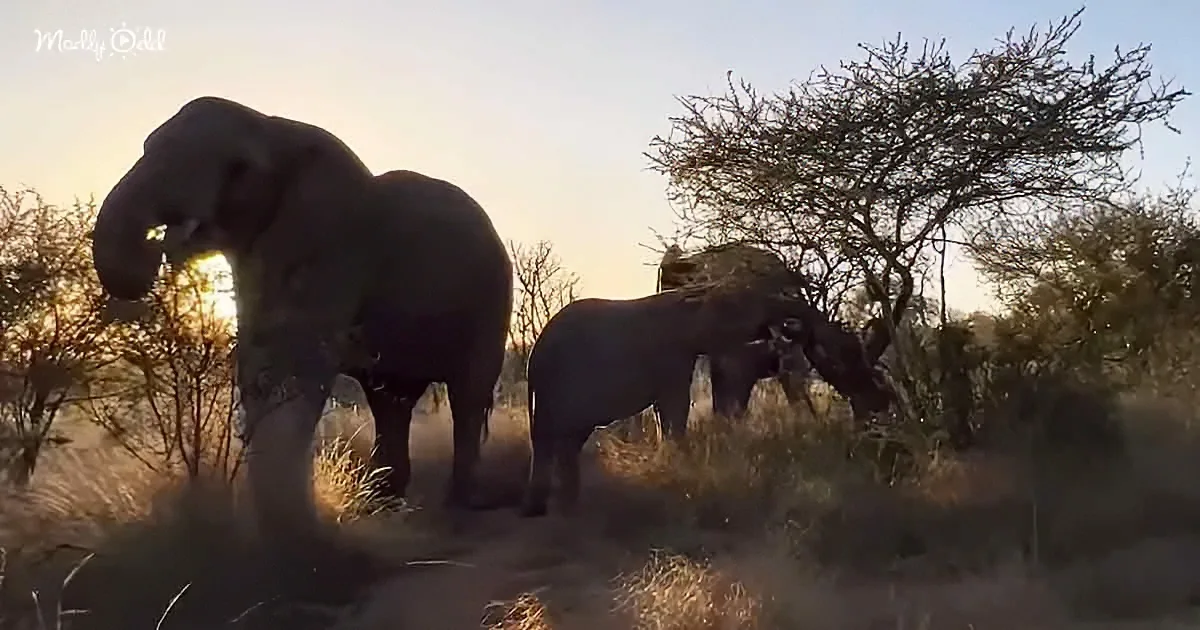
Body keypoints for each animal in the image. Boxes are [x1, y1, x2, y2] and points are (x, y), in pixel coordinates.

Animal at [90, 97, 513, 554]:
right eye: (147, 146)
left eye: (239, 167)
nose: (157, 246)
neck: (276, 129)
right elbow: (258, 362)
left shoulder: (330, 243)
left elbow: (290, 365)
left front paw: (295, 537)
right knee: (391, 401)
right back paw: (385, 506)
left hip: (491, 301)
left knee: (467, 394)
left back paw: (457, 506)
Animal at [518, 281, 883, 517]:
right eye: (748, 308)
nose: (793, 328)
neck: (693, 299)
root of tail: (534, 355)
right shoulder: (670, 357)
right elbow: (674, 406)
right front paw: (677, 466)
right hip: (556, 384)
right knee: (550, 437)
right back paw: (543, 508)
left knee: (567, 441)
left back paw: (566, 503)